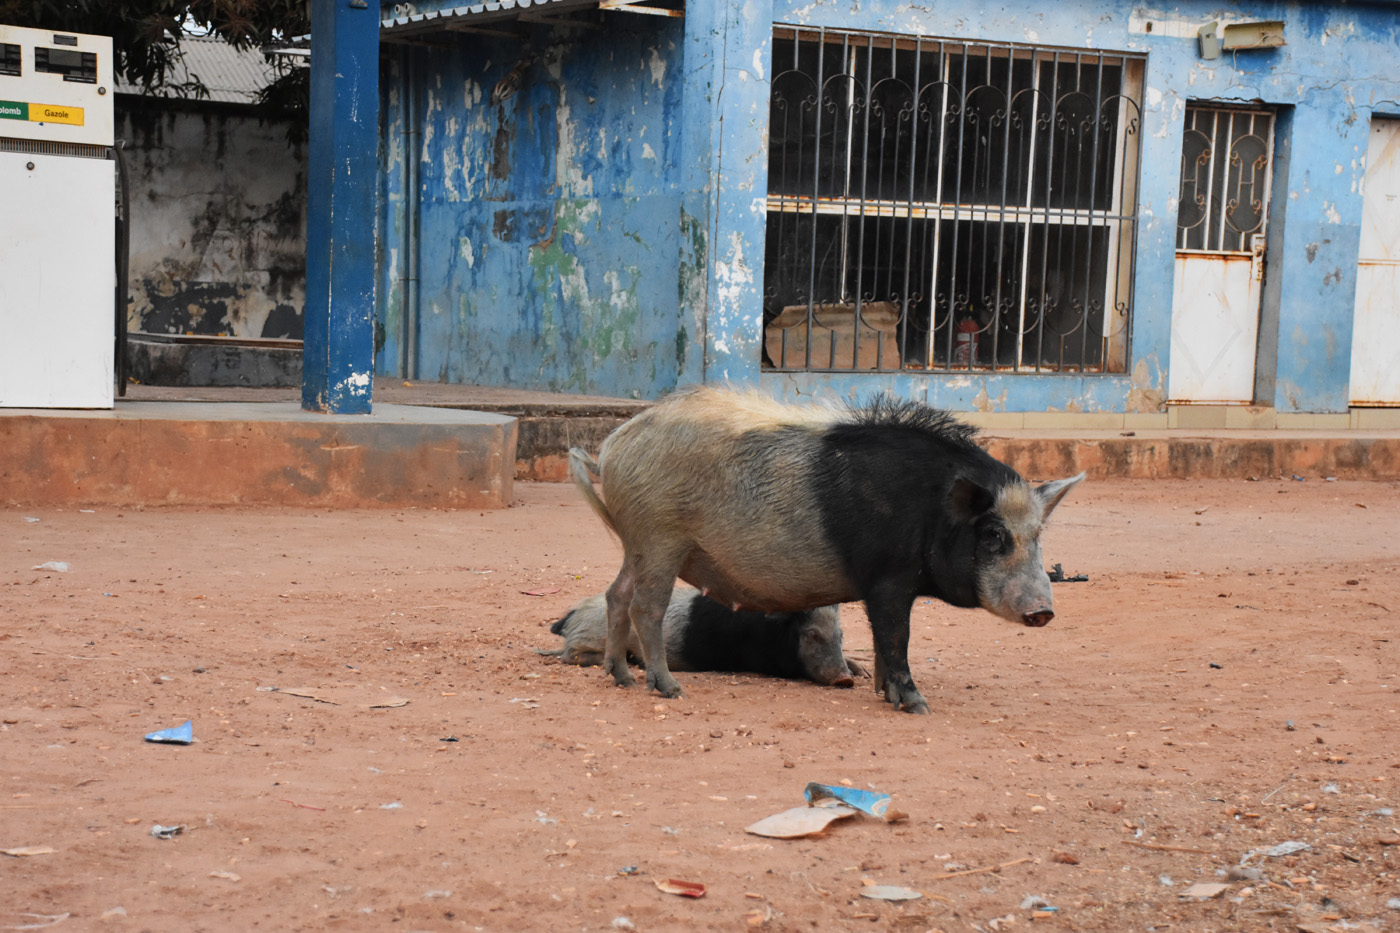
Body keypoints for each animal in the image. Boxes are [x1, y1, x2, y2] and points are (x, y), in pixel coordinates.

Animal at [543, 585, 862, 686]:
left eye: (841, 635)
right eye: (811, 635)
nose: (843, 679)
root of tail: (573, 613)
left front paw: (862, 671)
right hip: (591, 636)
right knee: (569, 655)